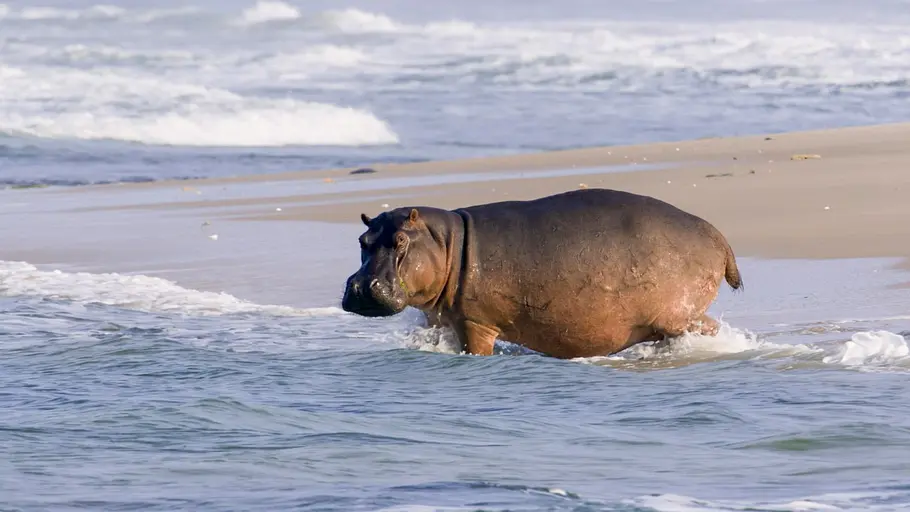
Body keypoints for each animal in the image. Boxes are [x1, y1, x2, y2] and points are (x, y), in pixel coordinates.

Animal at [341, 188, 742, 359]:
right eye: (362, 239)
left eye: (400, 240)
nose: (360, 286)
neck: (448, 241)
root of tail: (719, 235)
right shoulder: (440, 320)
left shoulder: (475, 322)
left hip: (678, 314)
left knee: (707, 328)